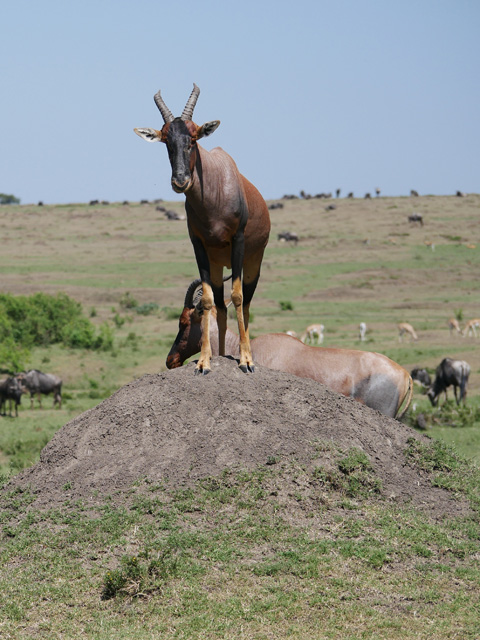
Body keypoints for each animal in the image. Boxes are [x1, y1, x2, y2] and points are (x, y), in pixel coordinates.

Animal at [135, 85, 270, 376]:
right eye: (166, 140)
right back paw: (220, 355)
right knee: (220, 306)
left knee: (246, 303)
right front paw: (204, 362)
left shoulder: (238, 243)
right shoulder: (198, 246)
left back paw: (245, 356)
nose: (180, 181)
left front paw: (246, 361)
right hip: (218, 265)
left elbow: (238, 297)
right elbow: (208, 301)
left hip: (253, 262)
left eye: (194, 138)